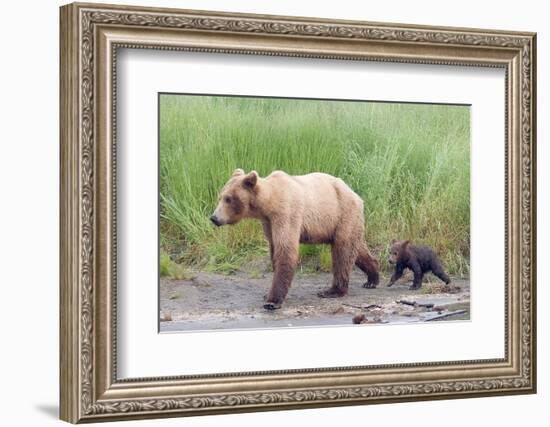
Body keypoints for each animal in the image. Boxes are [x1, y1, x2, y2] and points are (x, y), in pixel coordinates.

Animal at [211, 170, 380, 310]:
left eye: (228, 199)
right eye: (220, 197)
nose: (214, 218)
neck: (268, 203)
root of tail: (355, 194)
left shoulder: (286, 213)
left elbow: (286, 250)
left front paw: (272, 301)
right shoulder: (268, 222)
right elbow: (274, 249)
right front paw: (268, 295)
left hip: (343, 213)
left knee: (343, 251)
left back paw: (332, 291)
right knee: (356, 249)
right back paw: (372, 278)